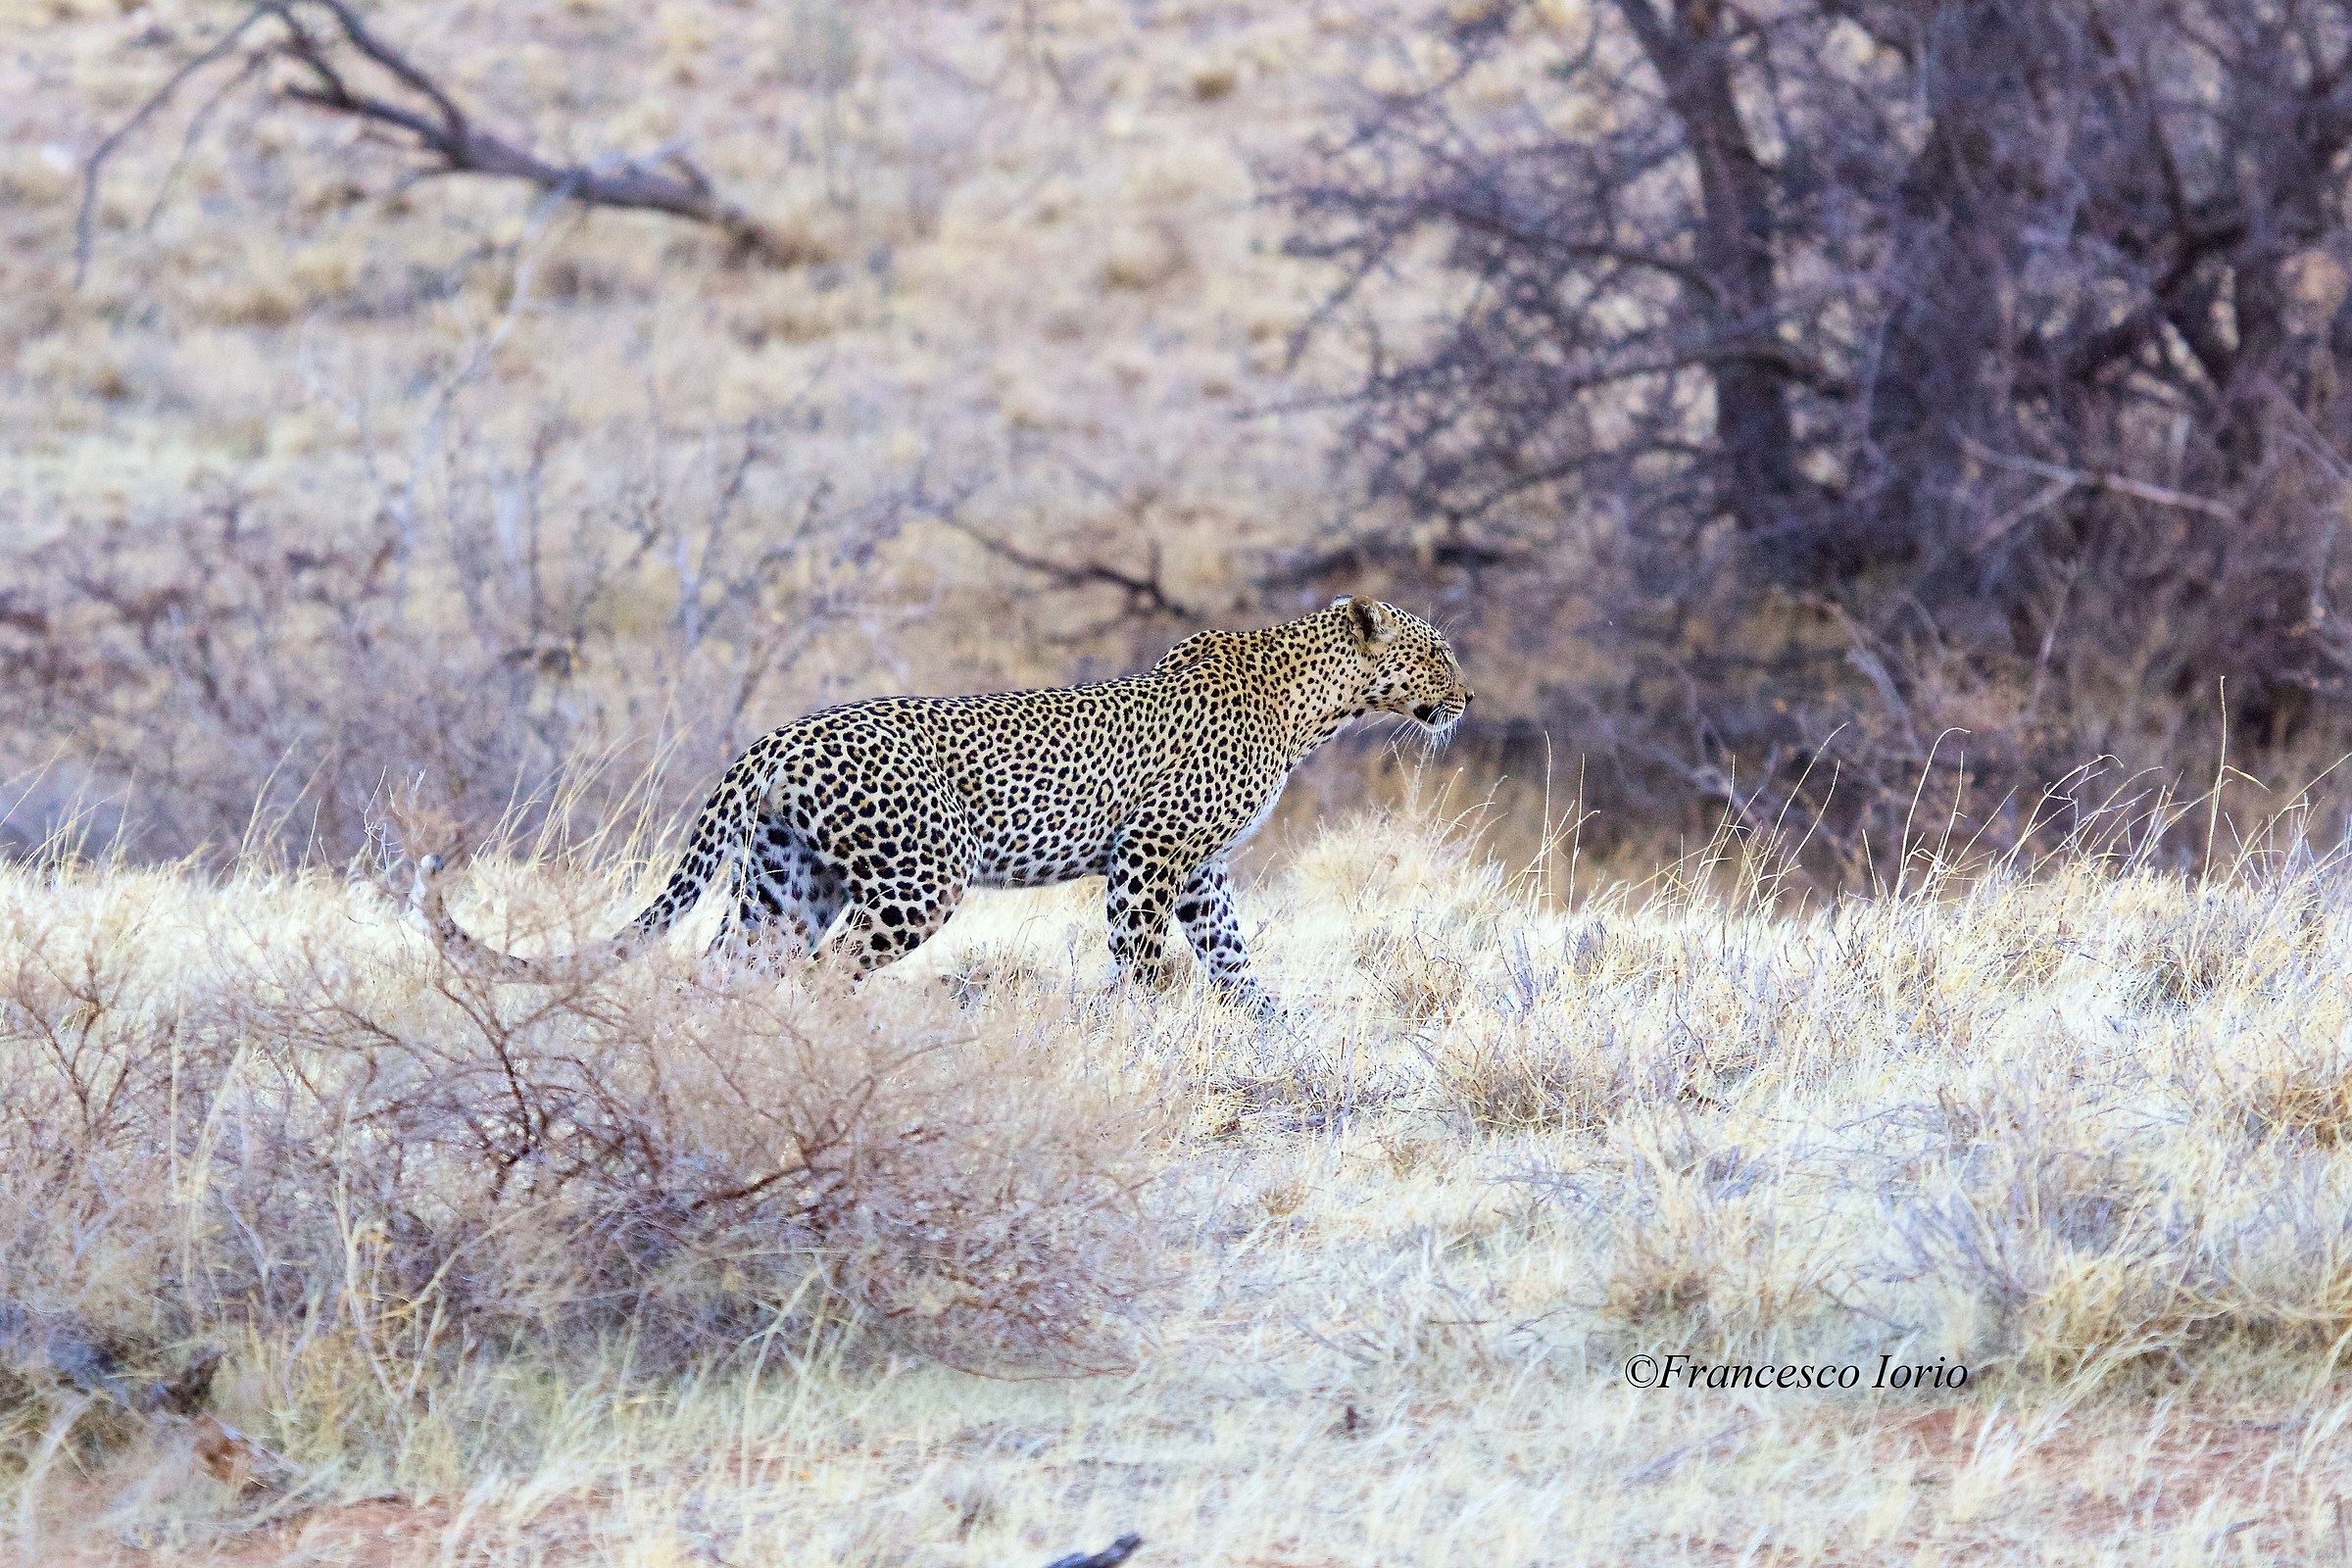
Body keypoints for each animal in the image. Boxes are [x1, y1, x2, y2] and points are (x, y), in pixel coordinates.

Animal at [409, 595, 1472, 1010]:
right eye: (1439, 652)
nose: (1467, 699)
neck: (1316, 705)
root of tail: (775, 736)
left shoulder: (1199, 869)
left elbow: (1234, 960)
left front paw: (1274, 1027)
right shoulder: (1149, 858)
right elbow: (1143, 961)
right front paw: (1140, 1031)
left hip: (785, 885)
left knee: (723, 972)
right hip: (920, 879)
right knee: (826, 974)